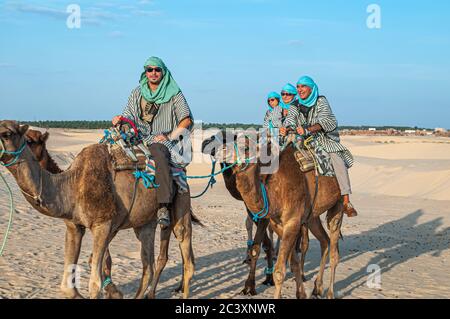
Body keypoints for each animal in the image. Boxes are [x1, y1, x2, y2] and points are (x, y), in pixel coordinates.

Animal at [1, 122, 195, 300]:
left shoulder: (104, 225)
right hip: (144, 223)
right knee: (149, 265)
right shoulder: (74, 226)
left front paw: (112, 291)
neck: (72, 182)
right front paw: (111, 292)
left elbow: (95, 282)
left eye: (7, 134)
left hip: (181, 201)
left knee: (185, 250)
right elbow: (68, 286)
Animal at [204, 132, 344, 300]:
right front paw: (301, 293)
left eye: (246, 147)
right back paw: (317, 289)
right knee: (325, 241)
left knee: (334, 251)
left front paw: (258, 284)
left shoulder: (291, 222)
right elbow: (292, 263)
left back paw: (329, 293)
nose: (215, 149)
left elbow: (279, 271)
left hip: (339, 203)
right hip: (312, 216)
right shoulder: (277, 223)